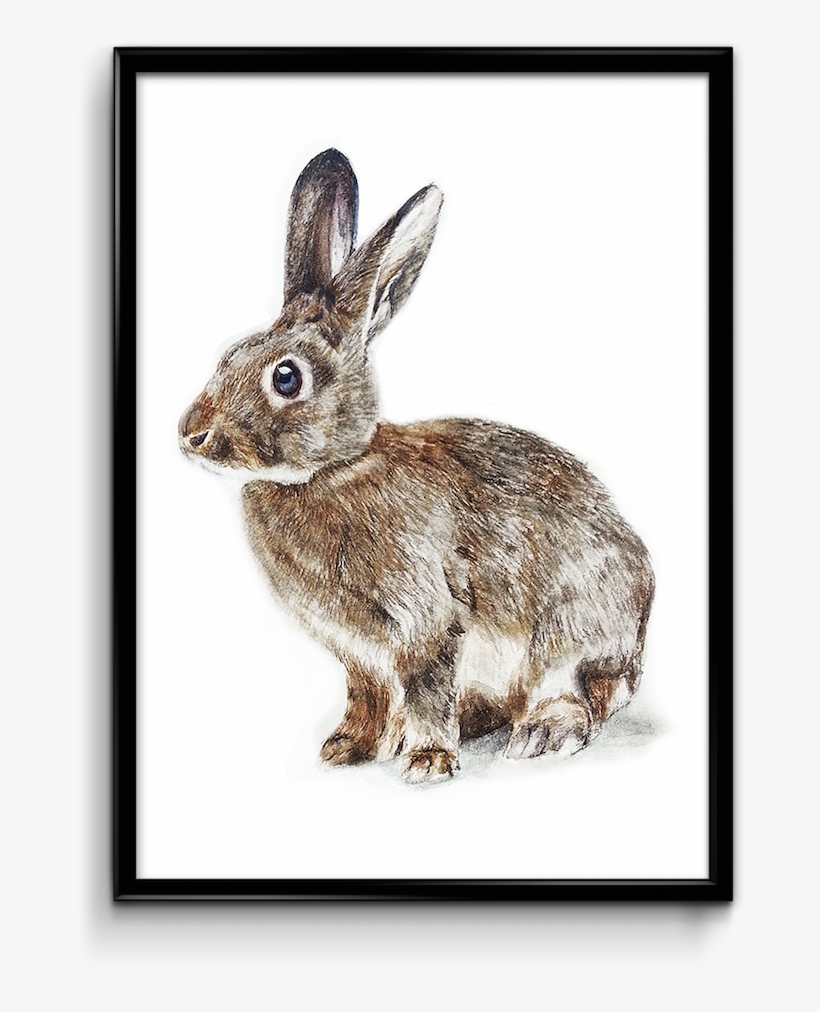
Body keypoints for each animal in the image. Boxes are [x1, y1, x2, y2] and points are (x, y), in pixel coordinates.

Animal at [178, 148, 654, 784]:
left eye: (285, 377)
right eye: (228, 355)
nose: (190, 435)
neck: (334, 470)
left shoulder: (426, 618)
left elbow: (426, 687)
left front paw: (428, 762)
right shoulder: (358, 652)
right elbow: (370, 695)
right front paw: (345, 748)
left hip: (572, 630)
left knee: (582, 692)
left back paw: (540, 733)